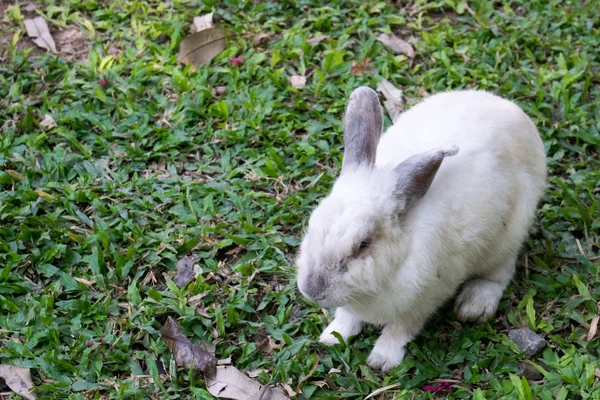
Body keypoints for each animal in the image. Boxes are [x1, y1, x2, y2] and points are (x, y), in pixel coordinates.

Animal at [296, 86, 548, 370]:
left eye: (363, 244)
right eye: (311, 225)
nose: (311, 290)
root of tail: (512, 110)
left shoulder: (424, 300)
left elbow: (400, 329)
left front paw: (382, 360)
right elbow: (347, 317)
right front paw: (332, 336)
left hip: (507, 236)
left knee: (500, 274)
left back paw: (474, 305)